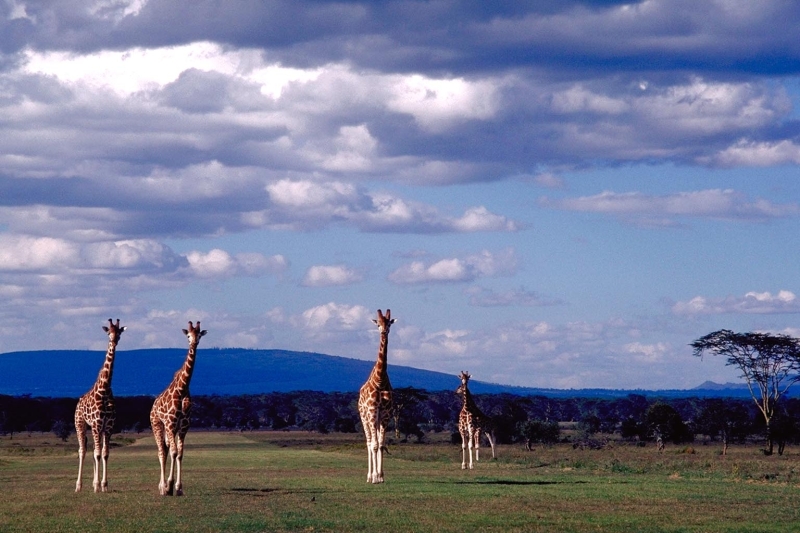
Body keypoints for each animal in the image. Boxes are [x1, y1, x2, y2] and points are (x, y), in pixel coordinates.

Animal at [74, 318, 127, 492]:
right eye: (108, 331)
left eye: (119, 332)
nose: (114, 340)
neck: (104, 389)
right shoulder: (97, 424)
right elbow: (97, 454)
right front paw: (97, 485)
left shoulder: (108, 426)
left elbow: (104, 453)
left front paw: (103, 485)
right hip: (80, 424)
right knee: (82, 450)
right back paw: (78, 486)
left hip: (96, 428)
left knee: (92, 450)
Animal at [149, 321, 207, 496]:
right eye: (188, 335)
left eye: (199, 335)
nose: (194, 343)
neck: (182, 389)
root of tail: (153, 407)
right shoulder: (170, 422)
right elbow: (174, 453)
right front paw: (169, 486)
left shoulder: (184, 425)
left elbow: (180, 454)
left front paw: (178, 487)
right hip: (157, 425)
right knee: (161, 451)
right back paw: (162, 488)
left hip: (171, 429)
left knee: (167, 449)